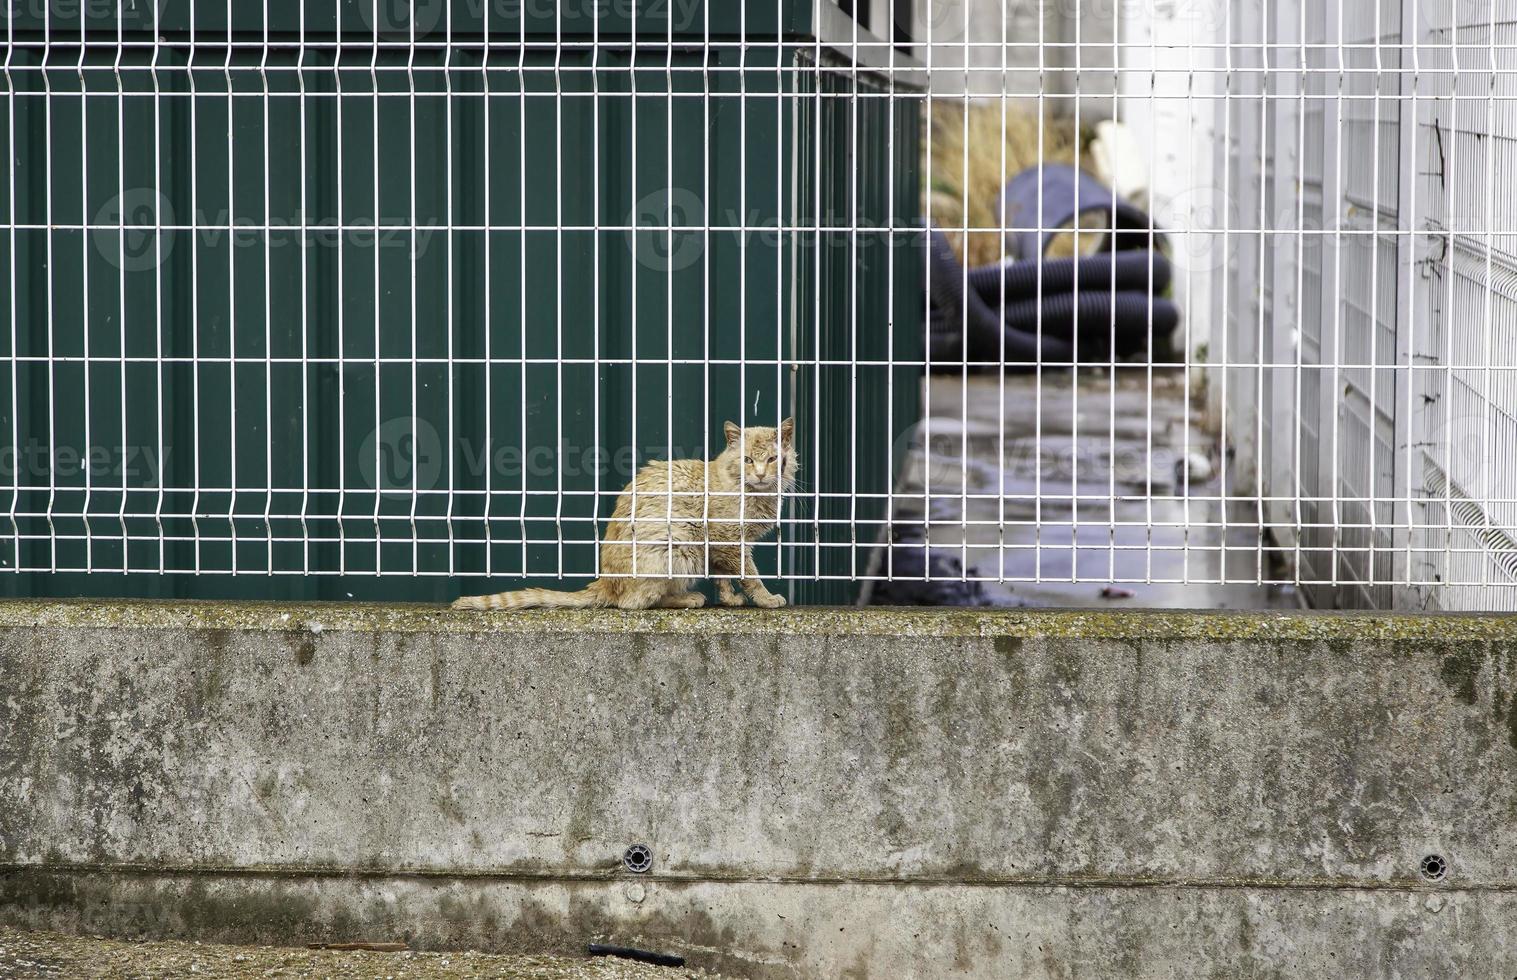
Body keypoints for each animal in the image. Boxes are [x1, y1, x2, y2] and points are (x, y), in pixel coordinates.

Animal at [452, 421, 800, 609]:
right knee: (634, 602)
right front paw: (766, 598)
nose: (759, 475)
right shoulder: (726, 540)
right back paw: (686, 598)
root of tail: (606, 581)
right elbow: (748, 575)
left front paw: (730, 599)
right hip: (679, 547)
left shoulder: (718, 547)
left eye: (772, 459)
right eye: (747, 460)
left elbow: (723, 576)